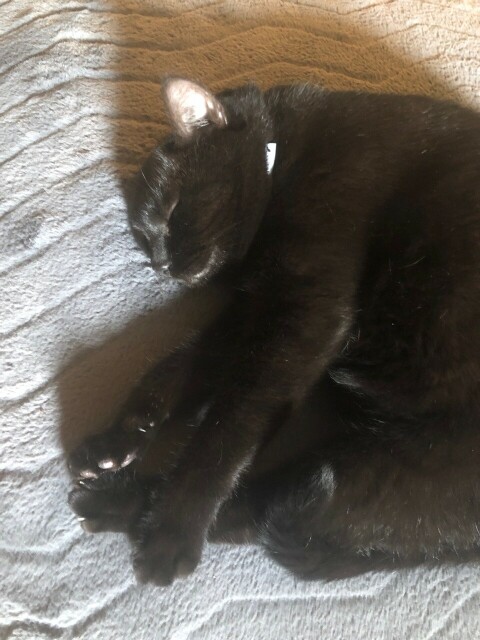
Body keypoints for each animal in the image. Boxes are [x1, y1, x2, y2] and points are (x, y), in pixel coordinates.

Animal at [67, 79, 480, 584]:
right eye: (143, 240)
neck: (282, 158)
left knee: (262, 508)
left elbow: (225, 432)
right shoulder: (250, 313)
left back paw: (141, 519)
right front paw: (117, 440)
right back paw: (111, 497)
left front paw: (174, 523)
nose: (160, 264)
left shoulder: (302, 314)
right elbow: (174, 370)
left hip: (380, 470)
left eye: (171, 212)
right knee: (265, 511)